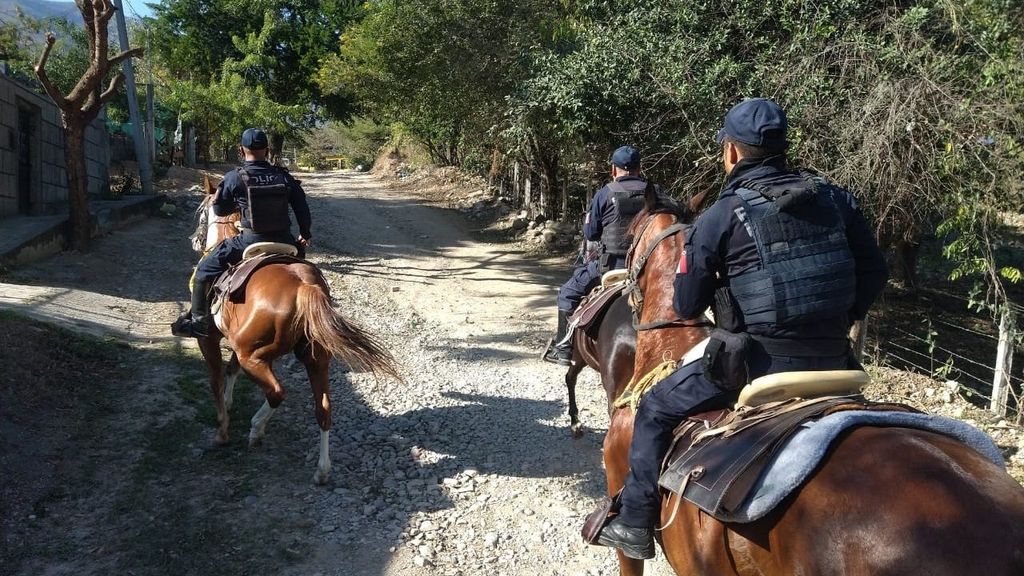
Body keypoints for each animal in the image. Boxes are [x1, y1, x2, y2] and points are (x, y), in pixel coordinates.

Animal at [192, 175, 399, 483]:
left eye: (201, 212)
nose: (195, 240)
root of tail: (305, 287)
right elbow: (230, 371)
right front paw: (229, 404)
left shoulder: (210, 338)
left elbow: (217, 379)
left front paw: (222, 431)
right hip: (314, 358)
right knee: (323, 409)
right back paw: (322, 469)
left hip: (254, 356)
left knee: (277, 392)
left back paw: (256, 429)